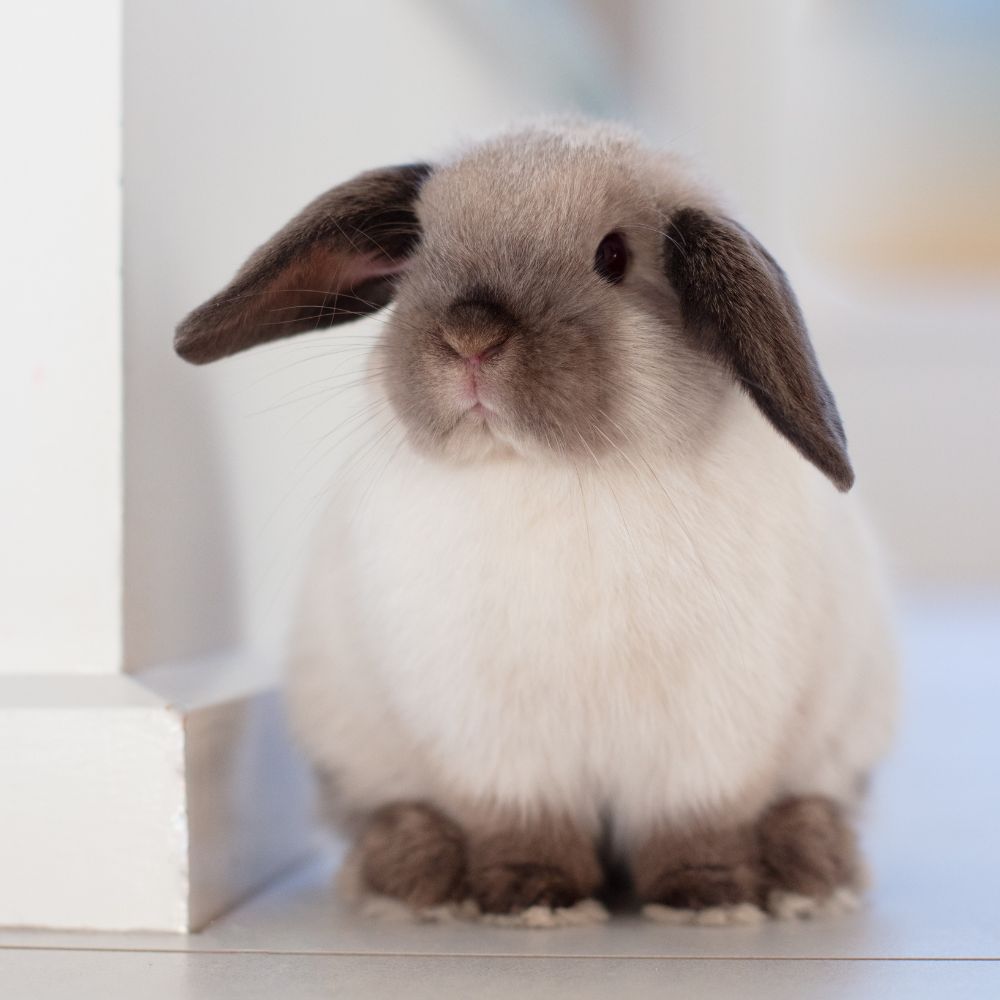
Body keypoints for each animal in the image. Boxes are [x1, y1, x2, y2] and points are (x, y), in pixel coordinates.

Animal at [176, 120, 898, 923]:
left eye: (614, 256)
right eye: (420, 246)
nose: (469, 336)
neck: (553, 474)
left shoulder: (709, 732)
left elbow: (696, 821)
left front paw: (709, 897)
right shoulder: (495, 741)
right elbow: (524, 822)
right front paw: (531, 897)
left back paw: (811, 866)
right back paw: (410, 870)